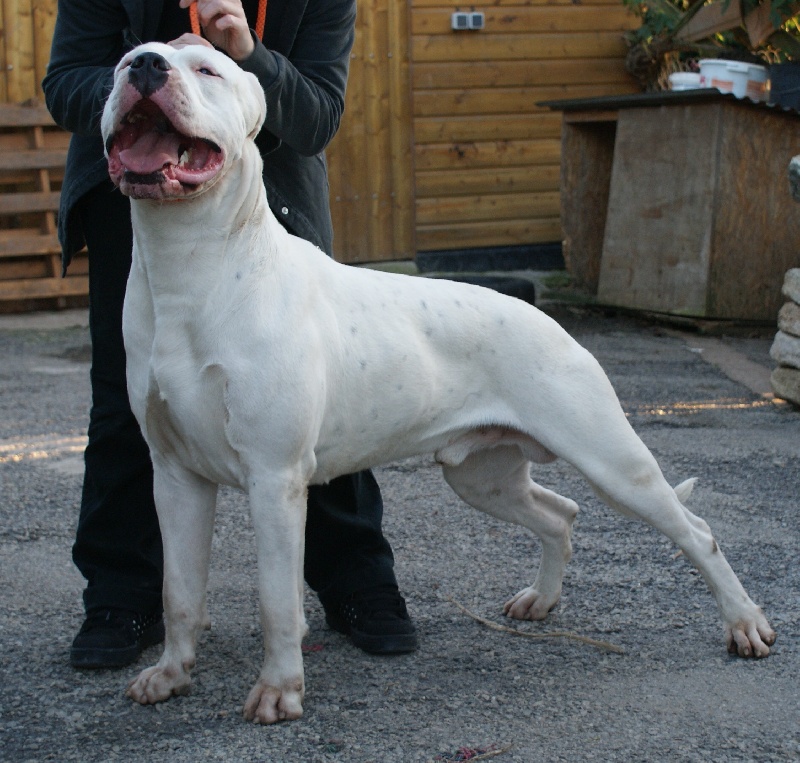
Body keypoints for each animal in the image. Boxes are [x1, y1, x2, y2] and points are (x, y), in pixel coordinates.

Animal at [101, 42, 775, 724]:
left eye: (208, 70)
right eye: (123, 63)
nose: (147, 65)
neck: (190, 268)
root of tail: (552, 322)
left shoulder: (274, 477)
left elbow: (276, 601)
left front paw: (278, 691)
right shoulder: (176, 476)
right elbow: (180, 590)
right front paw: (171, 674)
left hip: (612, 461)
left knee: (695, 532)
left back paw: (744, 625)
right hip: (482, 475)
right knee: (561, 513)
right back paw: (540, 600)